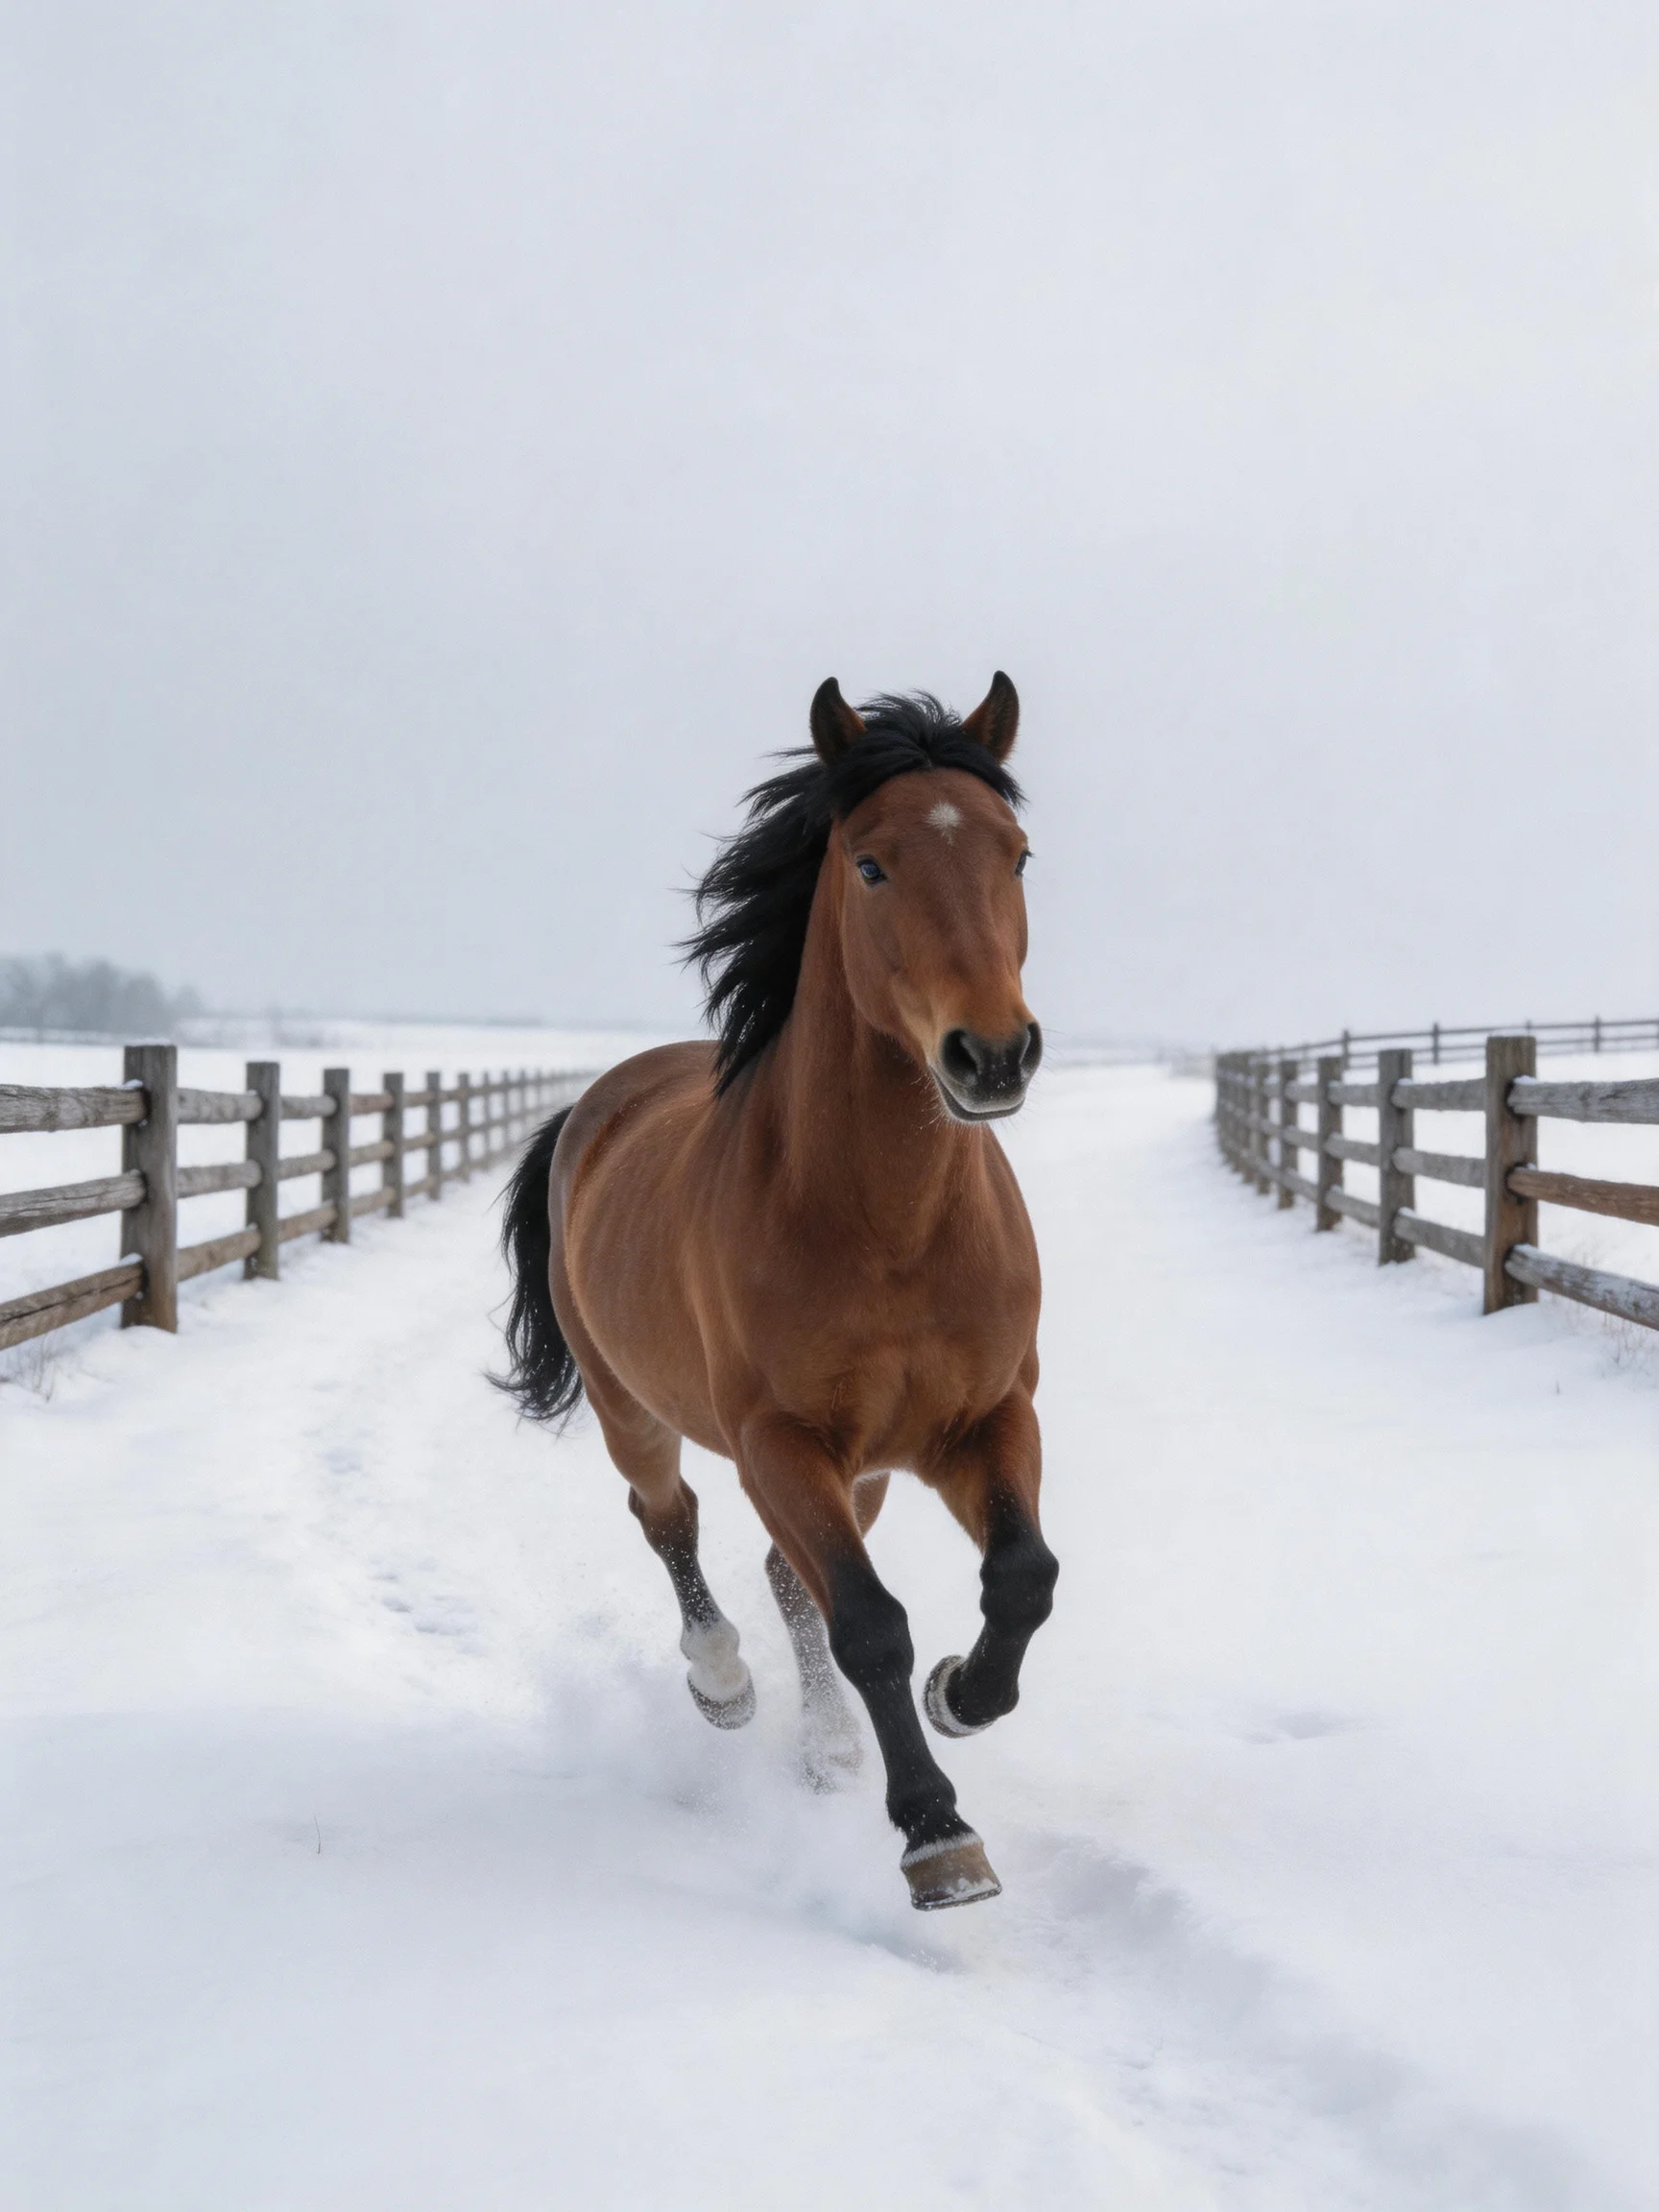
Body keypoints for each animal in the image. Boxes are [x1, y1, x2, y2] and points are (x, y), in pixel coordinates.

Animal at [496, 675, 1055, 1909]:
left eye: (1019, 855)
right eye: (871, 863)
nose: (992, 1056)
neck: (888, 1228)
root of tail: (597, 1107)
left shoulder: (984, 1419)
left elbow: (1022, 1578)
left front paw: (963, 1696)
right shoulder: (780, 1442)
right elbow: (871, 1624)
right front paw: (938, 1838)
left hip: (871, 1468)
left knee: (781, 1576)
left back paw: (832, 1749)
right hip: (636, 1415)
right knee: (673, 1525)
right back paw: (724, 1687)